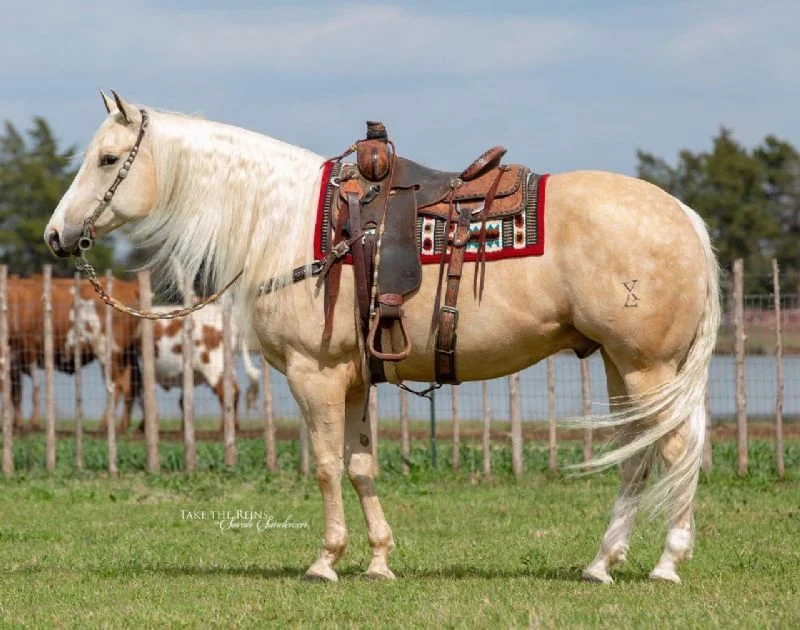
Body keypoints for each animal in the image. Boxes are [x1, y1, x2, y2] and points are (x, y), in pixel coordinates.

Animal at [44, 90, 720, 585]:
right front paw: (377, 560)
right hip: (621, 366)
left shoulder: (313, 374)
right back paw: (602, 564)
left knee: (674, 449)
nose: (57, 235)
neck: (285, 222)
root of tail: (684, 216)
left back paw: (666, 564)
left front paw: (325, 562)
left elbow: (324, 466)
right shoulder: (354, 379)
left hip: (647, 367)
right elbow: (362, 465)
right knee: (636, 455)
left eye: (108, 159)